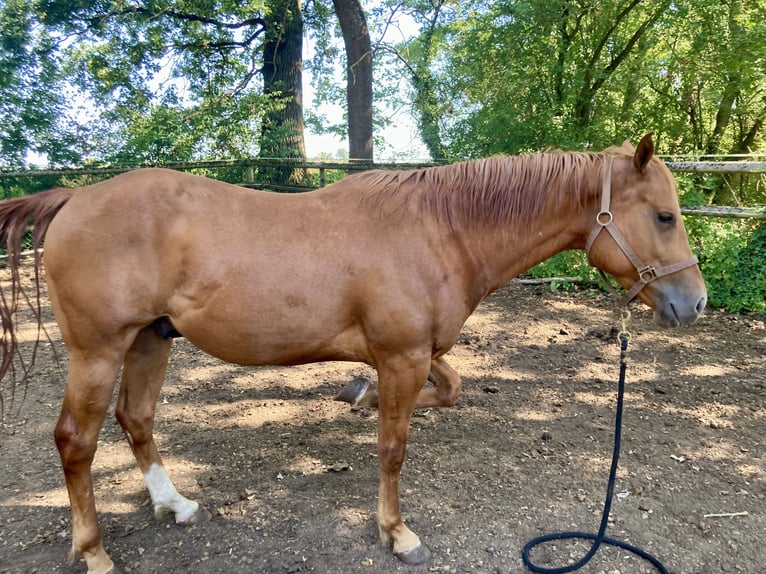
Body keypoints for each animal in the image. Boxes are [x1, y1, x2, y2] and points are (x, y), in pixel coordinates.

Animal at [0, 134, 706, 574]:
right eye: (664, 216)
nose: (694, 302)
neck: (440, 229)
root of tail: (74, 198)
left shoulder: (416, 352)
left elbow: (449, 389)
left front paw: (356, 395)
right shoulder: (402, 357)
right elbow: (393, 450)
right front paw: (397, 533)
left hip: (151, 339)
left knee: (137, 419)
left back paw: (174, 504)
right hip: (97, 351)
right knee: (76, 442)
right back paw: (93, 550)